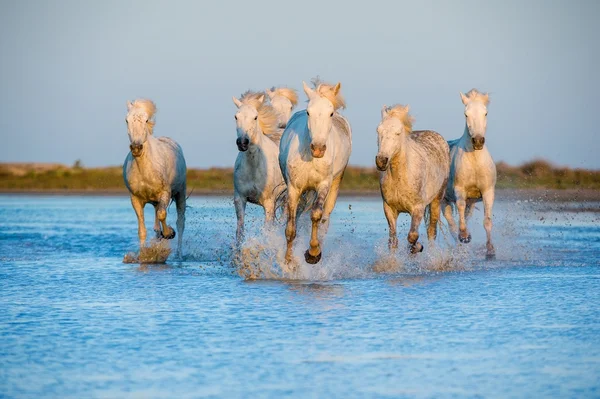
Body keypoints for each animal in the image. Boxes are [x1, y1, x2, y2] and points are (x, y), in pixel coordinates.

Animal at [122, 99, 186, 256]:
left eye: (146, 120)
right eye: (127, 120)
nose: (136, 148)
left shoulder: (165, 193)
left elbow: (163, 215)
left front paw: (169, 233)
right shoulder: (135, 199)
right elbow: (142, 230)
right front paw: (143, 255)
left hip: (180, 193)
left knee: (180, 222)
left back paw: (179, 253)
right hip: (156, 201)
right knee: (157, 224)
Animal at [232, 90, 286, 244]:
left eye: (255, 117)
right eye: (236, 117)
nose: (242, 142)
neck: (254, 168)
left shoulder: (268, 204)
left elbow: (267, 232)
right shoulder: (240, 199)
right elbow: (240, 231)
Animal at [280, 79, 352, 264]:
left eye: (330, 113)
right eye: (308, 112)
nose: (318, 149)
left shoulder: (323, 185)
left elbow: (316, 215)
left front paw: (313, 253)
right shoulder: (294, 188)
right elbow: (290, 226)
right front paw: (289, 260)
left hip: (335, 185)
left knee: (325, 220)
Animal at [376, 105, 450, 253]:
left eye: (398, 133)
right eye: (378, 130)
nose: (381, 161)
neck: (400, 176)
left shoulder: (418, 208)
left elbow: (413, 236)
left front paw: (418, 248)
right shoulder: (389, 208)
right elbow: (393, 241)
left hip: (436, 201)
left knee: (431, 232)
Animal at [440, 89, 496, 260]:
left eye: (486, 113)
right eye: (466, 114)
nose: (477, 141)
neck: (475, 161)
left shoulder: (488, 192)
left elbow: (487, 221)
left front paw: (490, 251)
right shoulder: (460, 190)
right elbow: (460, 210)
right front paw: (464, 236)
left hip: (471, 202)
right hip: (443, 201)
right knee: (452, 224)